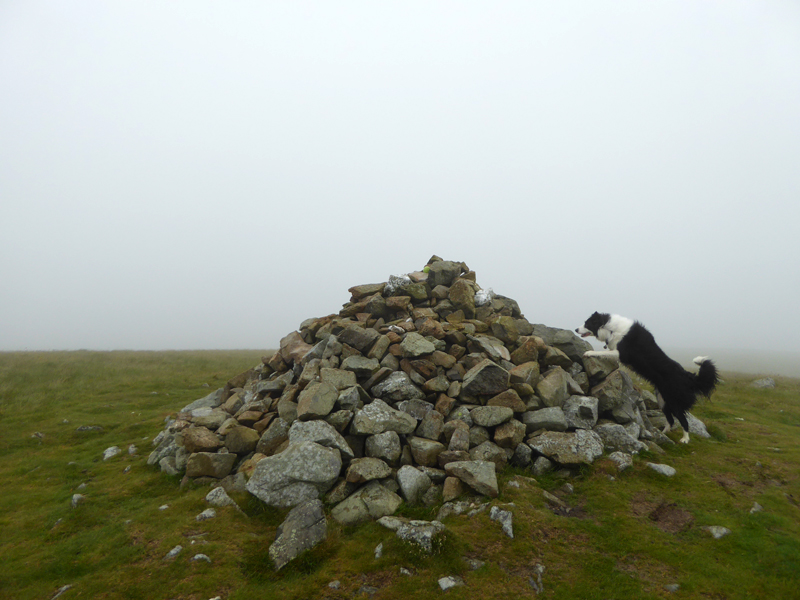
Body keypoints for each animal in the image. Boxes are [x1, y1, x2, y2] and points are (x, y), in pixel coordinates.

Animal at [576, 312, 720, 442]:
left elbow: (601, 352)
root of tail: (688, 377)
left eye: (587, 323)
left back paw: (685, 439)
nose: (576, 329)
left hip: (674, 401)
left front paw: (589, 352)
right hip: (662, 400)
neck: (610, 327)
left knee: (683, 420)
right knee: (671, 420)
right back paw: (662, 434)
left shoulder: (622, 353)